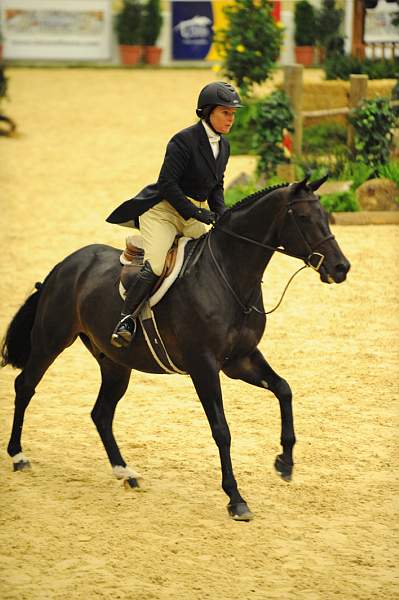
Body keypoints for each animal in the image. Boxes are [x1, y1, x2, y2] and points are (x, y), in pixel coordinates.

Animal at [0, 177, 350, 520]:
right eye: (303, 218)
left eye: (326, 216)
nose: (341, 267)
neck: (229, 276)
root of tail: (64, 264)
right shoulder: (204, 366)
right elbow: (221, 430)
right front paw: (235, 499)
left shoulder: (240, 360)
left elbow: (284, 389)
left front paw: (285, 463)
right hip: (51, 341)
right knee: (26, 386)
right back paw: (18, 456)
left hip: (115, 363)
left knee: (101, 413)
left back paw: (125, 472)